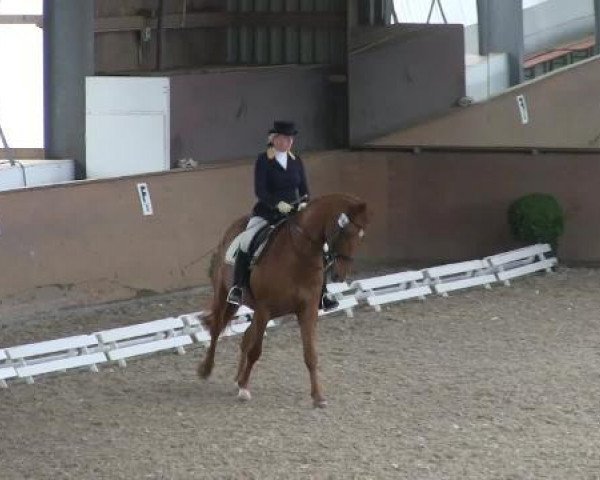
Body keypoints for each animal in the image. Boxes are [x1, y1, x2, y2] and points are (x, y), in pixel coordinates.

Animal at [197, 193, 368, 406]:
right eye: (344, 231)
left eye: (361, 236)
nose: (339, 275)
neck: (299, 254)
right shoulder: (265, 309)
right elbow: (256, 350)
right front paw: (244, 389)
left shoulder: (307, 311)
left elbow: (311, 354)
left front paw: (318, 397)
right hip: (224, 294)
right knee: (217, 329)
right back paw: (207, 370)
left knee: (245, 336)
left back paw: (237, 379)